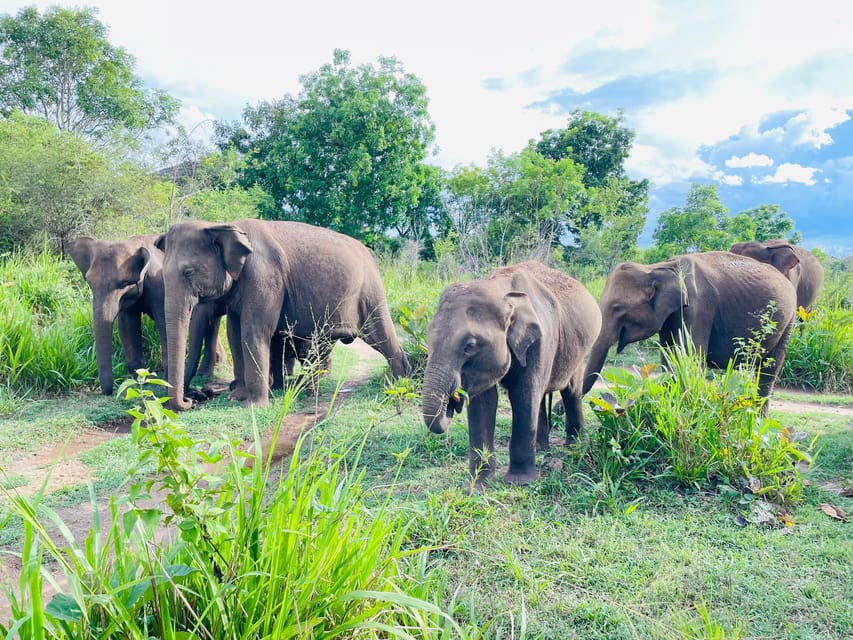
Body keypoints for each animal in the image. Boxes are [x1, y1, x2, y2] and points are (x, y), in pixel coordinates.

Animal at [67, 235, 225, 396]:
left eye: (123, 283)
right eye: (89, 282)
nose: (109, 392)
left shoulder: (160, 286)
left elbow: (164, 322)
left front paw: (165, 383)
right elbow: (127, 325)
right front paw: (136, 380)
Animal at [156, 220, 410, 410]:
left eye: (189, 272)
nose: (191, 398)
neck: (223, 225)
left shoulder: (265, 277)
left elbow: (254, 332)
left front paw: (254, 406)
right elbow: (234, 334)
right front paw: (237, 396)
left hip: (371, 292)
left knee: (383, 336)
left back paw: (401, 382)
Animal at [422, 260, 604, 484]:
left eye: (469, 346)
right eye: (428, 338)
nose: (454, 400)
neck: (500, 290)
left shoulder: (540, 341)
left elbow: (523, 396)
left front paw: (519, 481)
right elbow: (483, 402)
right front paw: (478, 485)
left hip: (579, 352)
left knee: (571, 391)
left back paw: (574, 445)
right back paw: (541, 448)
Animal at [584, 250, 796, 404]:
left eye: (617, 308)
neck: (658, 268)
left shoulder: (699, 307)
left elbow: (690, 357)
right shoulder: (671, 315)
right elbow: (670, 358)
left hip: (789, 320)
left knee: (769, 370)